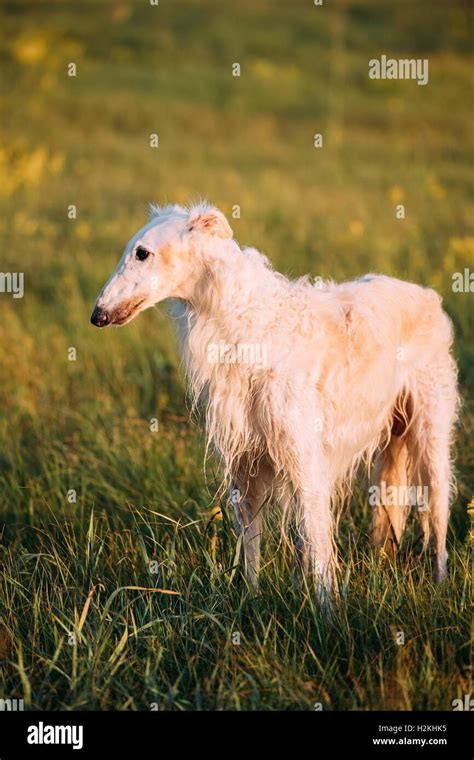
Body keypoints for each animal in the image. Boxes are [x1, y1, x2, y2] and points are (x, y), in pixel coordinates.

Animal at [90, 200, 458, 600]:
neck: (246, 326)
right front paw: (249, 599)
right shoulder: (246, 463)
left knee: (438, 518)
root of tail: (428, 295)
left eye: (142, 253)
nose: (97, 315)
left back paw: (440, 585)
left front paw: (326, 612)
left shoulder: (306, 458)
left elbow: (318, 552)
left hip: (431, 435)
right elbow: (251, 547)